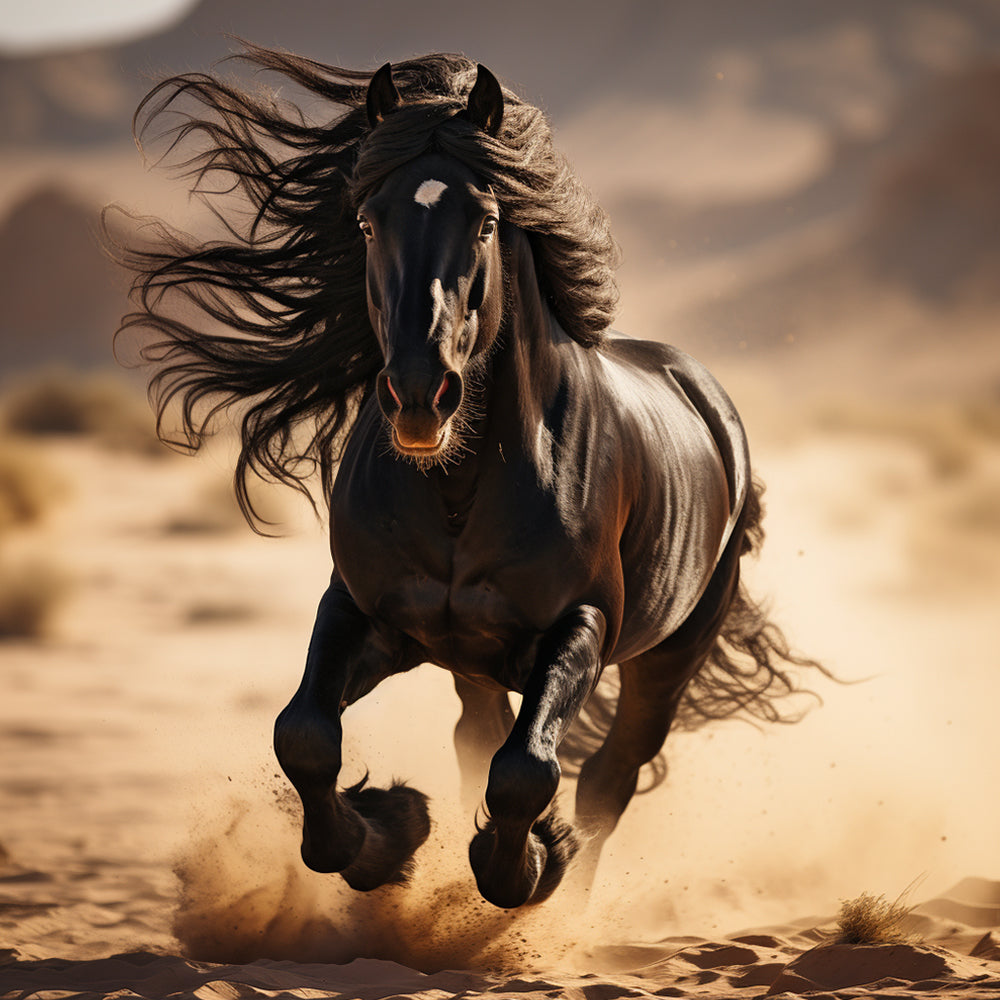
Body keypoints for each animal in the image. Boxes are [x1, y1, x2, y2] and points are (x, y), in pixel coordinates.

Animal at [112, 46, 822, 910]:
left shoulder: (581, 624)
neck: (459, 489)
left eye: (484, 221)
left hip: (668, 656)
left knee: (608, 778)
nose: (421, 394)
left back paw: (568, 905)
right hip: (473, 663)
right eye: (367, 220)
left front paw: (529, 865)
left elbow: (526, 774)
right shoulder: (366, 610)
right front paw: (387, 834)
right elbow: (306, 734)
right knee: (476, 738)